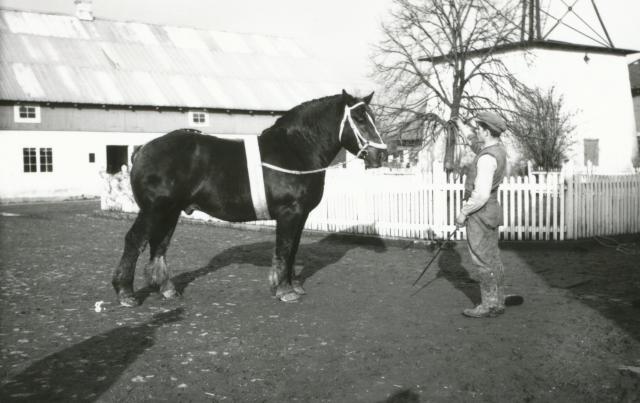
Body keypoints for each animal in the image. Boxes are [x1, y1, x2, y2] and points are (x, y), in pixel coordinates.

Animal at [112, 90, 388, 306]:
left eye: (372, 118)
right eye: (359, 119)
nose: (381, 155)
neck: (295, 150)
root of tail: (143, 149)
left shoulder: (300, 216)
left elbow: (293, 250)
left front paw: (292, 286)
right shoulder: (289, 214)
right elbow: (284, 250)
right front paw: (284, 290)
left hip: (170, 211)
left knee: (159, 244)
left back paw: (167, 289)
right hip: (153, 210)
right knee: (134, 241)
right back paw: (126, 293)